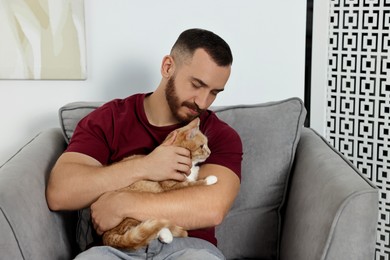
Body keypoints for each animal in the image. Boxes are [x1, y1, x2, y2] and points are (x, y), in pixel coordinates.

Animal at [102, 118, 218, 250]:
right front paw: (210, 179)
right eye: (202, 146)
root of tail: (107, 235)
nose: (210, 152)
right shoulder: (171, 186)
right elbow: (192, 183)